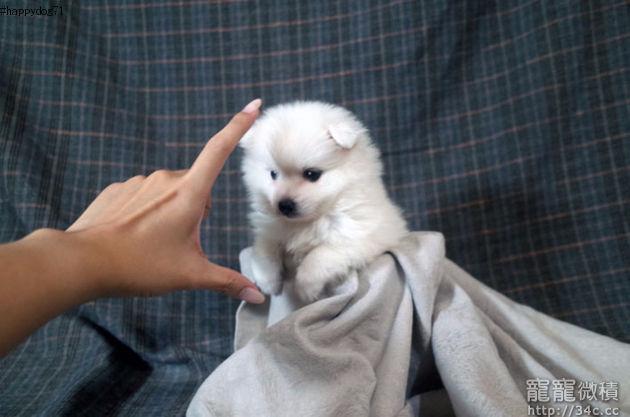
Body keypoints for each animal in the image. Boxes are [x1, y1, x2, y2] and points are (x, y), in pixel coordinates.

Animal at [240, 101, 408, 302]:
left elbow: (319, 254)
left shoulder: (360, 235)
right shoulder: (270, 228)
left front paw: (305, 289)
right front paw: (268, 282)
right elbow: (265, 248)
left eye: (312, 174)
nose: (284, 205)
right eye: (273, 174)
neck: (307, 222)